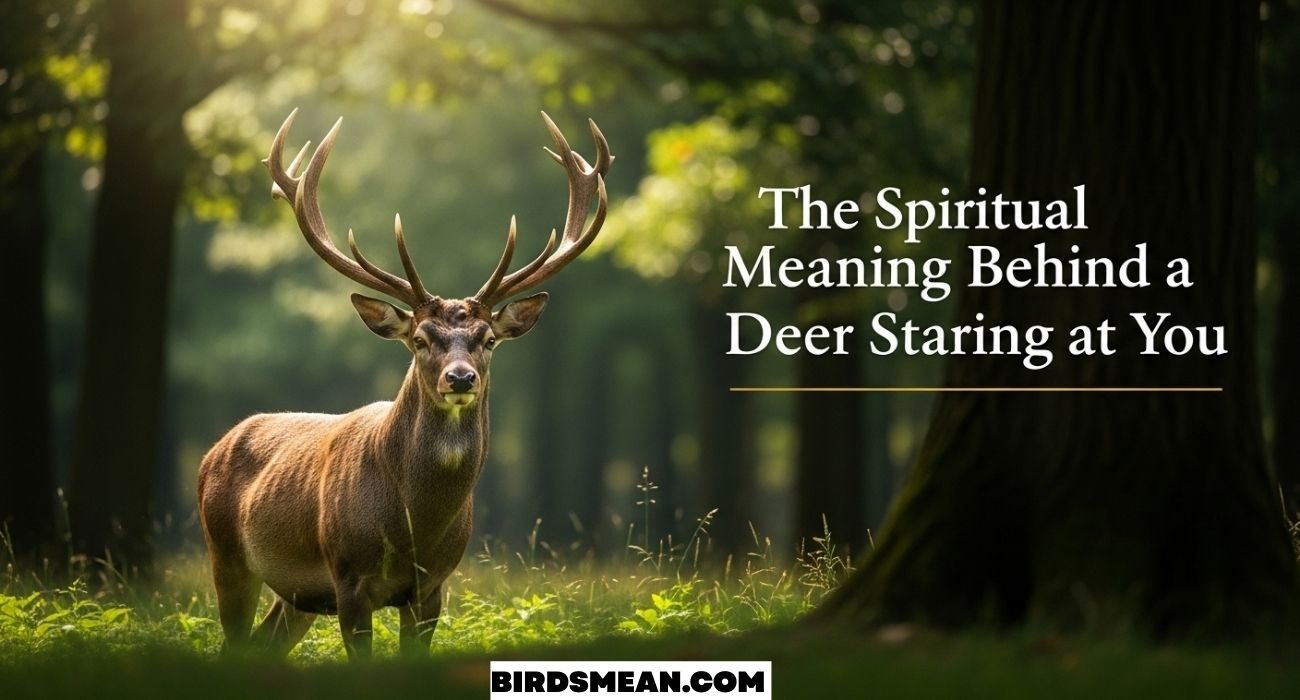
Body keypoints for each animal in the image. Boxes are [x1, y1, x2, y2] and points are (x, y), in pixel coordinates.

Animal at [197, 108, 612, 659]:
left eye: (488, 339)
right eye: (419, 338)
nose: (460, 377)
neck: (413, 526)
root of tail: (212, 450)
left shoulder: (433, 586)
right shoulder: (348, 577)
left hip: (295, 594)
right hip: (225, 553)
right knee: (233, 639)